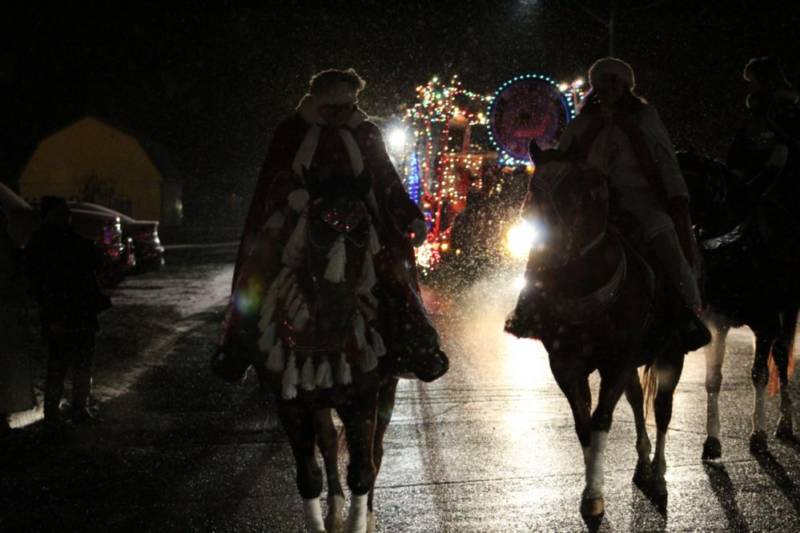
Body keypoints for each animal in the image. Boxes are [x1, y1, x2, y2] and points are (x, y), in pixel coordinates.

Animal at [505, 142, 688, 518]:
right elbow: (583, 424)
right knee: (637, 402)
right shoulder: (566, 365)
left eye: (579, 192)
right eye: (533, 189)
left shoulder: (617, 363)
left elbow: (601, 420)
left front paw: (594, 494)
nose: (549, 250)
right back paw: (643, 464)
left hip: (671, 354)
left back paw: (659, 475)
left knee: (663, 409)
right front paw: (590, 492)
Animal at [679, 151, 799, 459]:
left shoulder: (765, 324)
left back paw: (785, 422)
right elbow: (712, 378)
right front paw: (712, 440)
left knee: (782, 356)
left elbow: (759, 374)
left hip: (787, 309)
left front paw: (758, 435)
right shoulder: (715, 325)